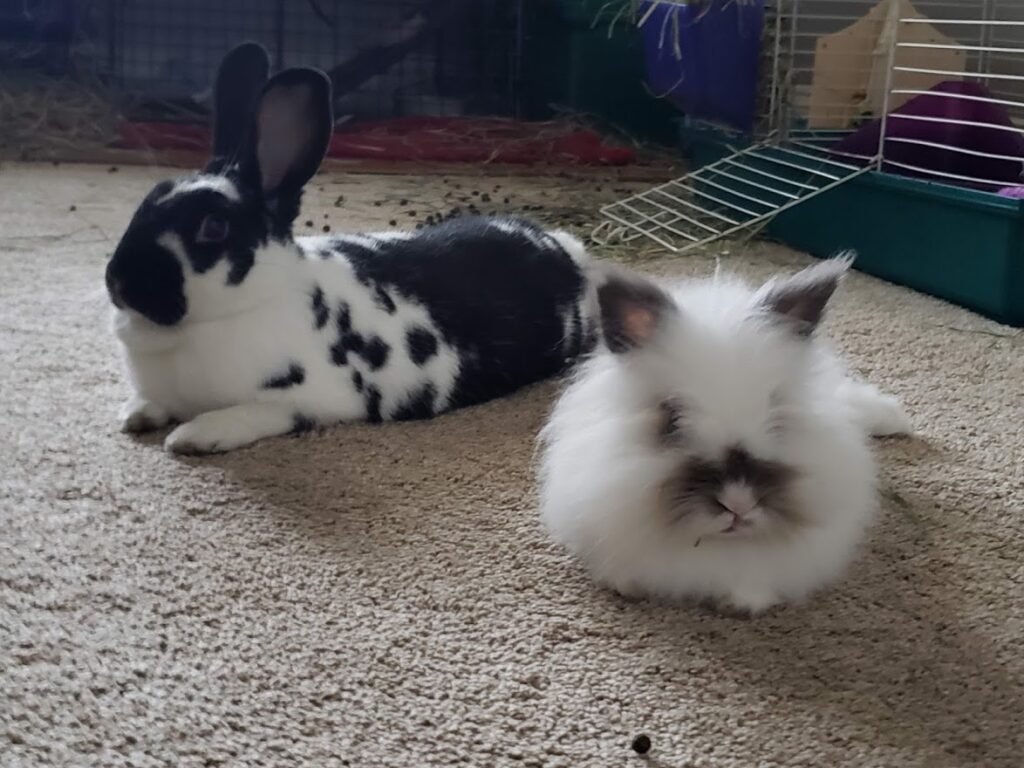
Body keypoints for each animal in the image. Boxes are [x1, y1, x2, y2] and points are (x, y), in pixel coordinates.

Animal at [107, 45, 598, 454]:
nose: (117, 280)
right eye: (149, 197)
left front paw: (193, 436)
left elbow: (253, 414)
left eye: (213, 227)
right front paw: (135, 413)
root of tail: (566, 249)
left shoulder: (309, 400)